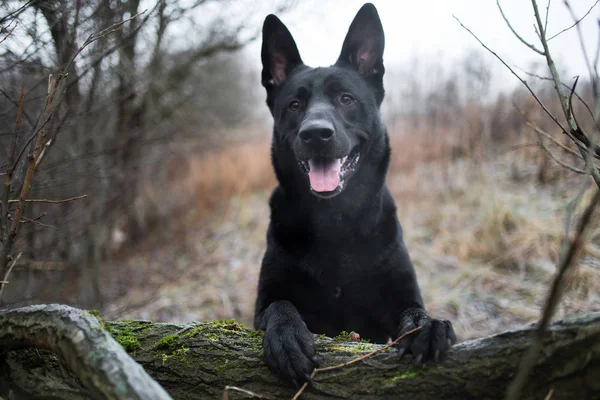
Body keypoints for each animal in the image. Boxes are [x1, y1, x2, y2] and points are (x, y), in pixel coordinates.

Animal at [253, 1, 454, 386]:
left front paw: (426, 326)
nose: (316, 134)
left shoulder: (400, 296)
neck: (334, 221)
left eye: (346, 99)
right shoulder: (264, 303)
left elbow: (414, 311)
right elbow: (279, 306)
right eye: (294, 105)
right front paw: (287, 335)